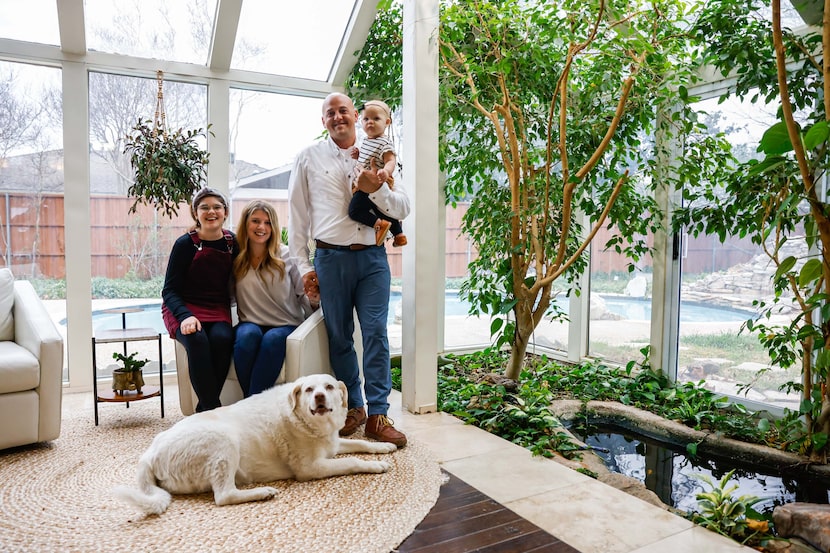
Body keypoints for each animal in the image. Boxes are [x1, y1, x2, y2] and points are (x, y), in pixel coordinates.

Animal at [114, 374, 400, 516]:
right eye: (309, 390)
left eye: (329, 387)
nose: (319, 397)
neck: (305, 420)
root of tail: (149, 455)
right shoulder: (311, 468)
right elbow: (351, 461)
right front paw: (376, 466)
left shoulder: (332, 443)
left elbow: (360, 442)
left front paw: (383, 449)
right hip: (224, 441)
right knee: (223, 496)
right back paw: (262, 492)